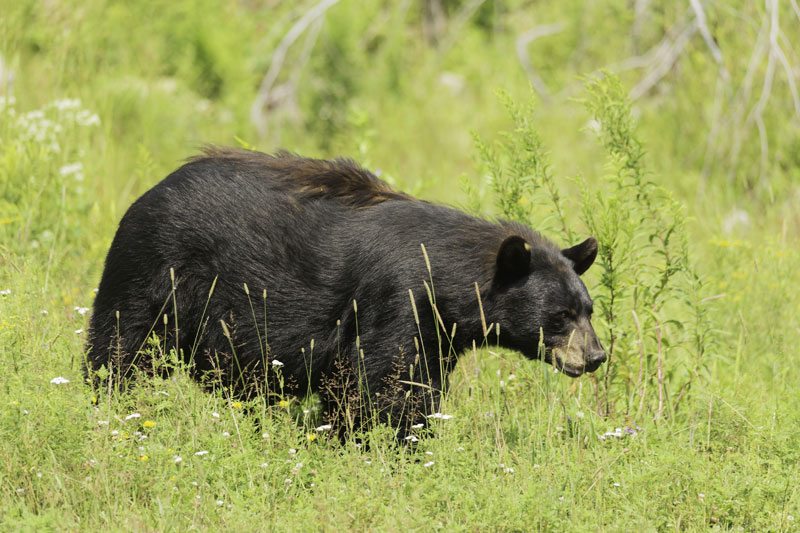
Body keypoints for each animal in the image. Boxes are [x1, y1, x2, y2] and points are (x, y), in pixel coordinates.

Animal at [84, 147, 604, 432]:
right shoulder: (396, 302)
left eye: (589, 309)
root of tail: (147, 193)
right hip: (153, 272)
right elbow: (377, 388)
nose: (597, 356)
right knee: (120, 348)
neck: (444, 279)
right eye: (560, 315)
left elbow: (415, 385)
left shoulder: (436, 334)